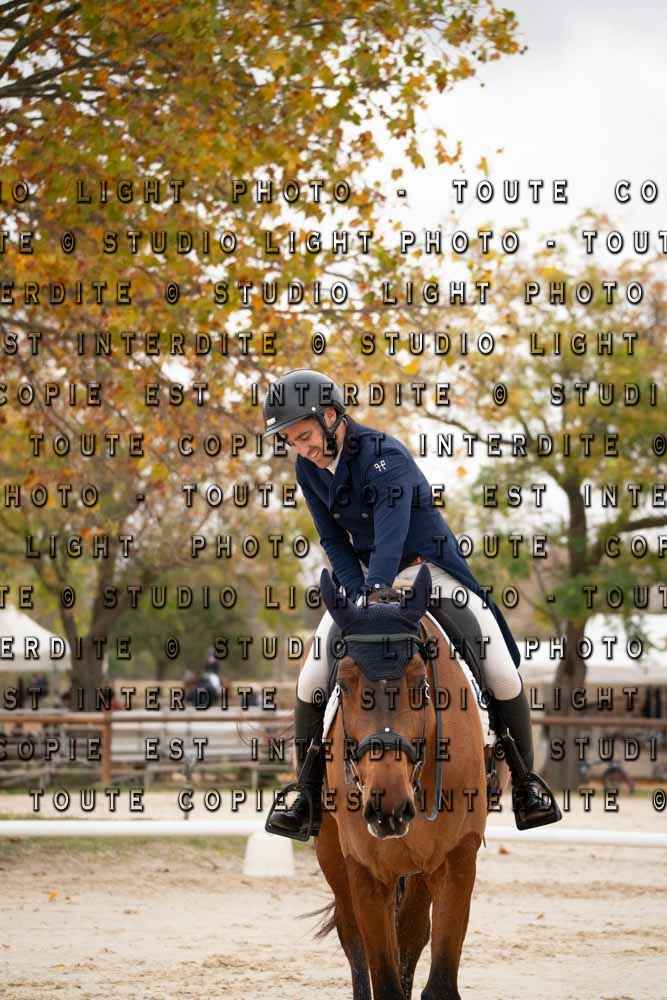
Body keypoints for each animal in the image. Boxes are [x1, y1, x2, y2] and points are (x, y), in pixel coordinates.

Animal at [315, 564, 492, 1000]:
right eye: (343, 685)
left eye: (420, 685)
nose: (388, 808)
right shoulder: (363, 868)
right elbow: (383, 975)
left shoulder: (456, 859)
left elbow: (437, 979)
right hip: (331, 854)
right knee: (353, 938)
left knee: (412, 933)